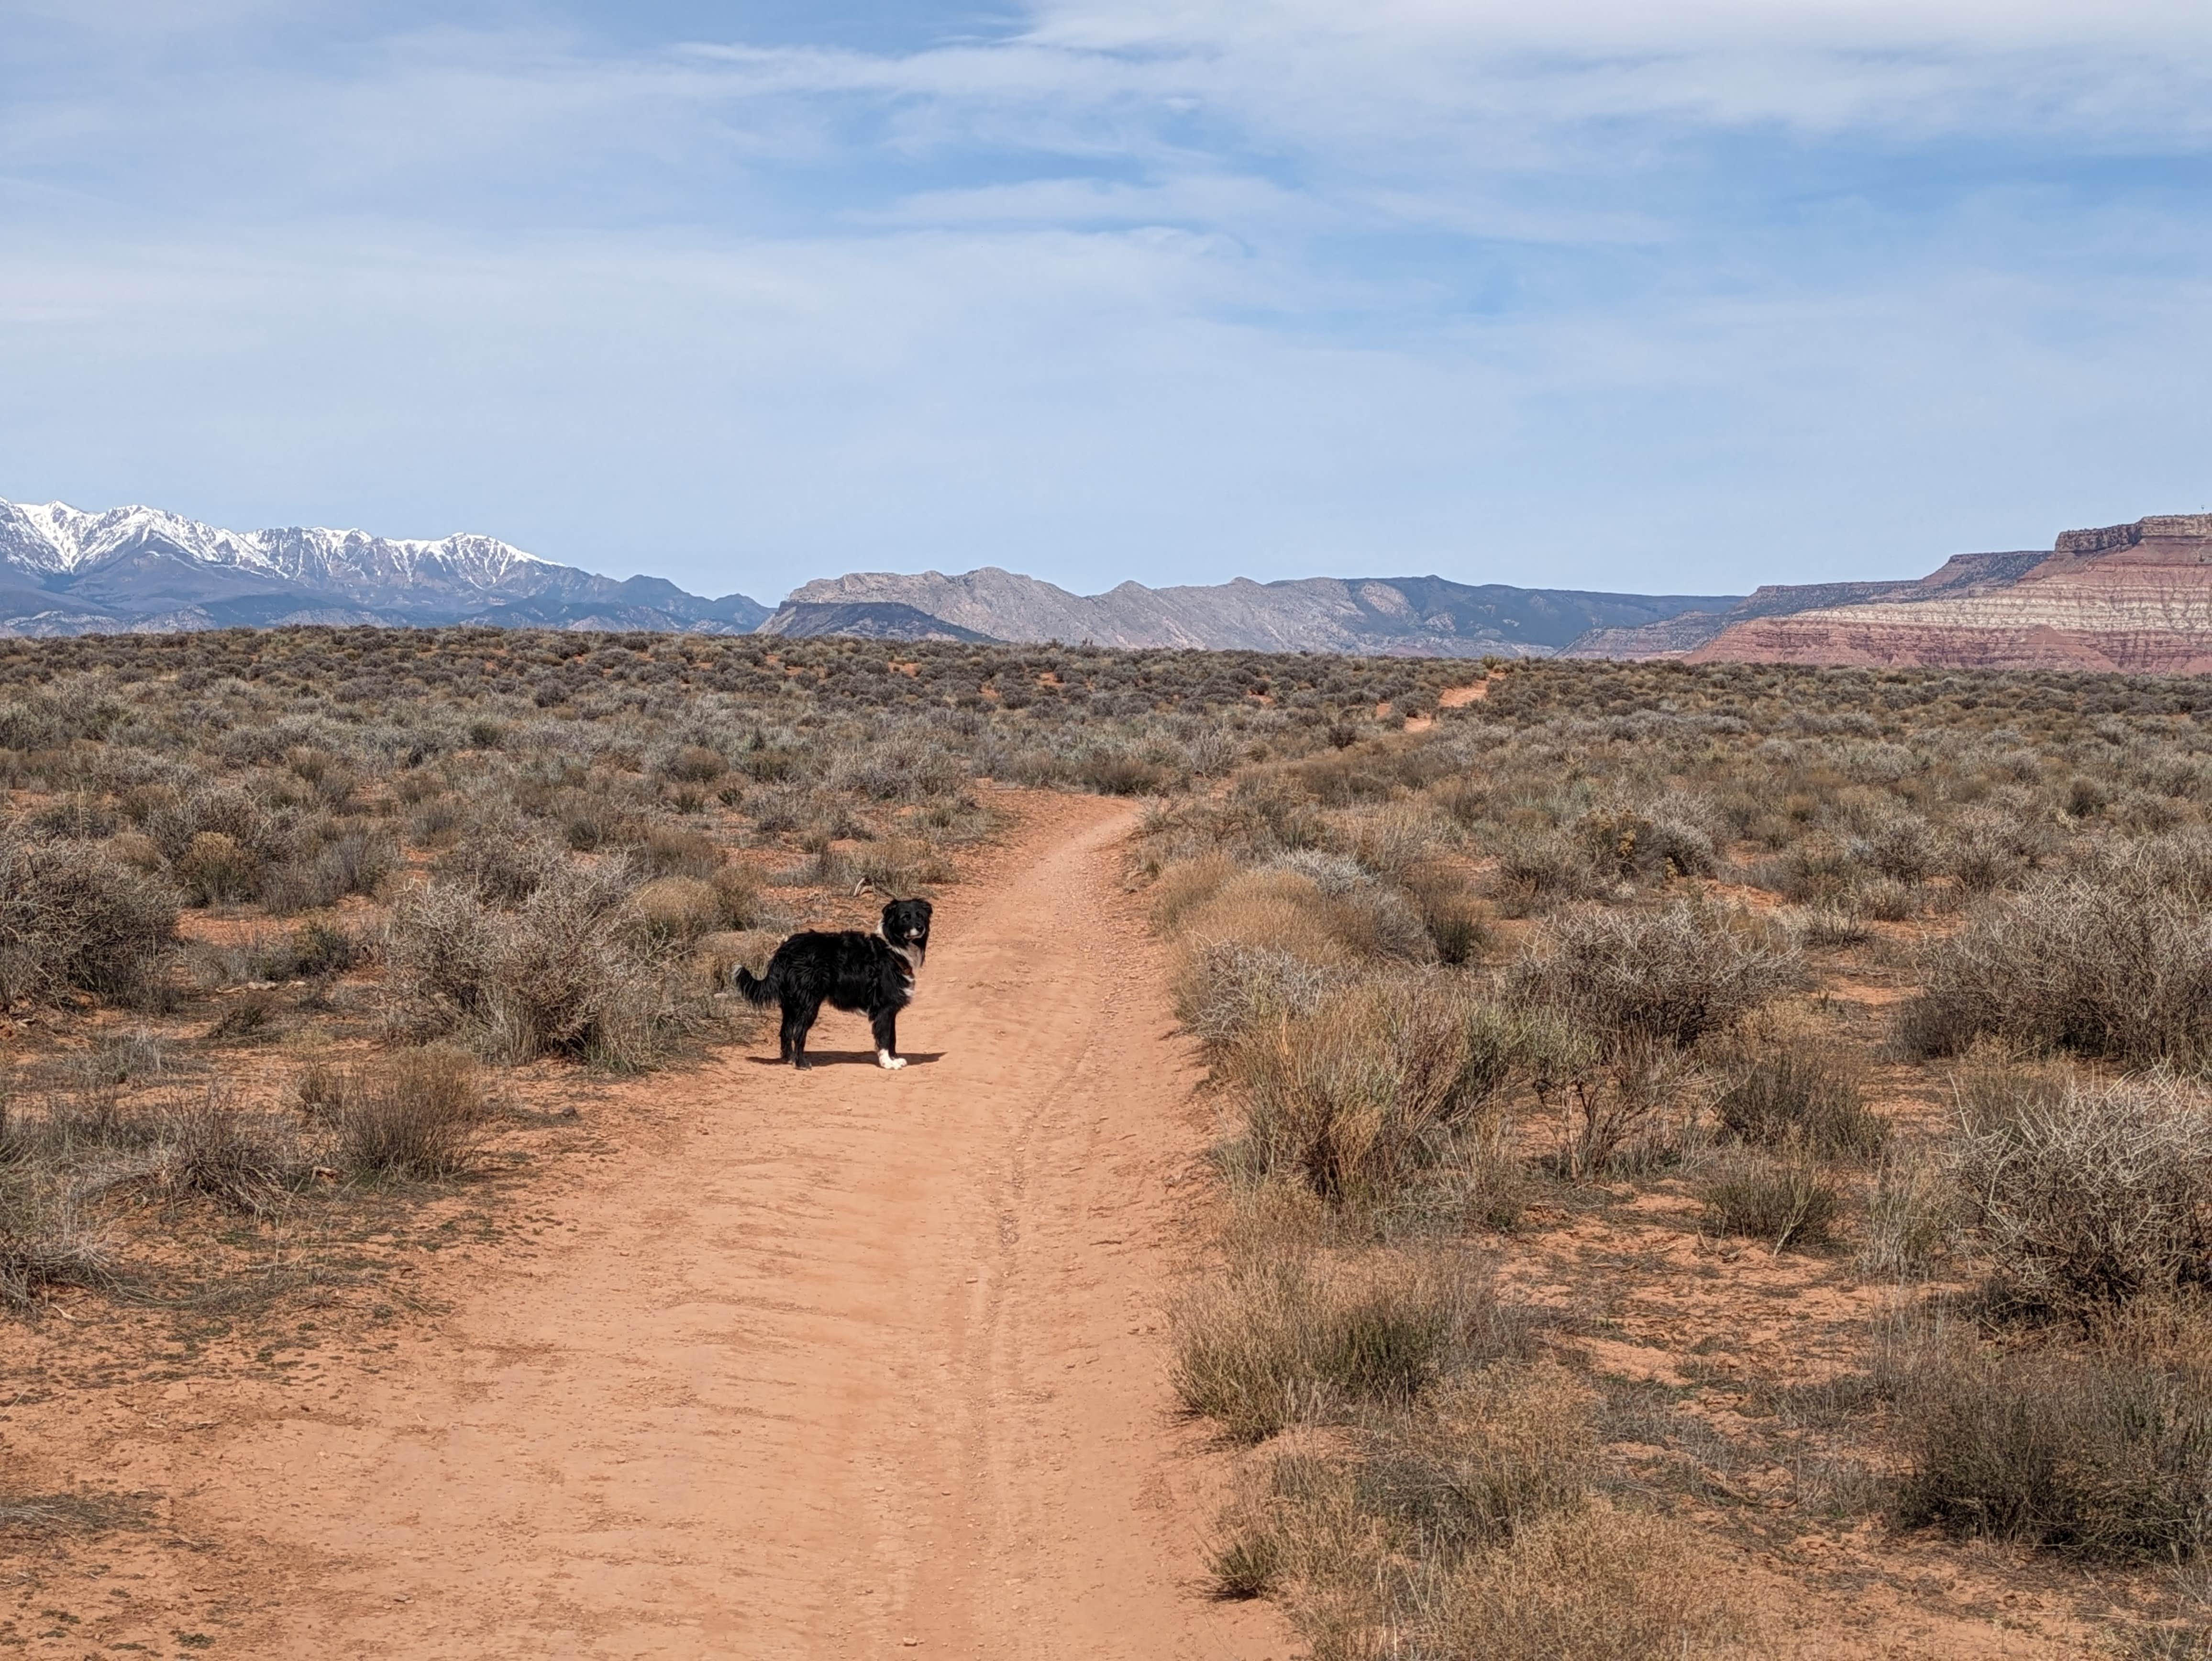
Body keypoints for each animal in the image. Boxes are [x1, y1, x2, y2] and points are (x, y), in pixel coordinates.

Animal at [730, 902, 929, 1070]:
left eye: (920, 915)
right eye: (905, 917)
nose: (920, 927)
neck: (892, 948)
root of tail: (785, 950)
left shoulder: (891, 1009)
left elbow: (893, 1037)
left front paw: (894, 1059)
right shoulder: (884, 1008)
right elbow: (885, 1037)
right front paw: (888, 1063)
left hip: (791, 1004)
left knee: (785, 1031)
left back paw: (790, 1059)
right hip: (808, 1004)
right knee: (798, 1033)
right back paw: (801, 1063)